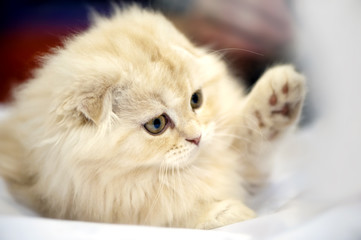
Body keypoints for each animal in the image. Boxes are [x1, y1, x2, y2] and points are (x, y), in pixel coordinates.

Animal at [0, 6, 306, 230]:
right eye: (156, 125)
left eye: (196, 100)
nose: (197, 138)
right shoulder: (98, 208)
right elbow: (176, 216)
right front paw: (231, 212)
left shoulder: (243, 164)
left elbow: (255, 135)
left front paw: (281, 94)